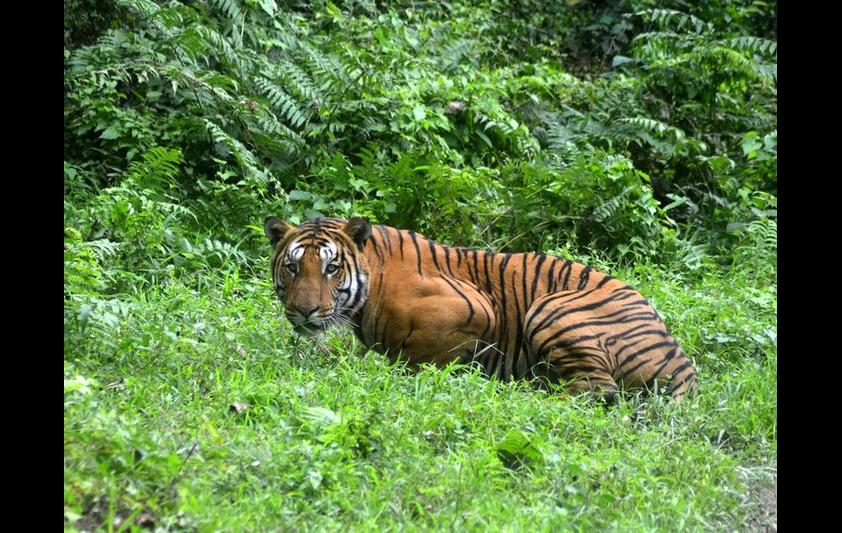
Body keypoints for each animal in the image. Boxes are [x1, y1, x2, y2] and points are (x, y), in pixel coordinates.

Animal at [264, 216, 698, 401]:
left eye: (331, 268)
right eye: (293, 266)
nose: (304, 311)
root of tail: (682, 364)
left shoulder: (475, 308)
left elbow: (420, 357)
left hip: (551, 307)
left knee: (596, 390)